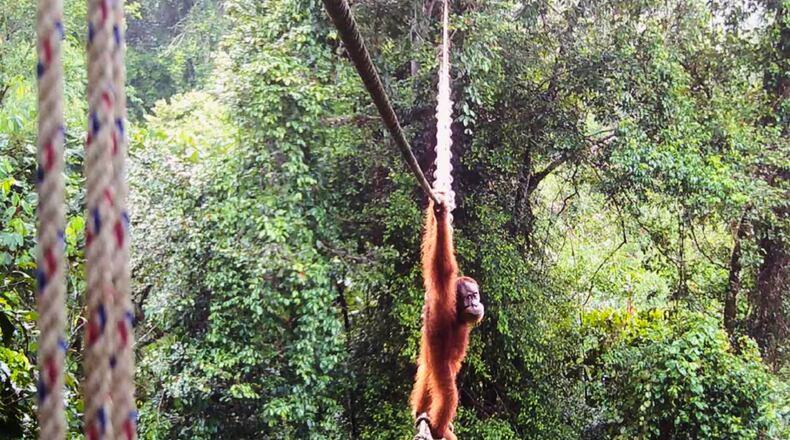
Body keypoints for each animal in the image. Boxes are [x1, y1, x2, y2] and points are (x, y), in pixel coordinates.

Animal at [410, 194, 483, 440]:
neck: (458, 314)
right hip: (439, 367)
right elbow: (442, 266)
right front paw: (441, 217)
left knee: (425, 378)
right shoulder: (443, 298)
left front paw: (437, 214)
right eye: (469, 297)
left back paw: (421, 414)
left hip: (428, 363)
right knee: (448, 393)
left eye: (476, 295)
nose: (476, 303)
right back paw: (438, 428)